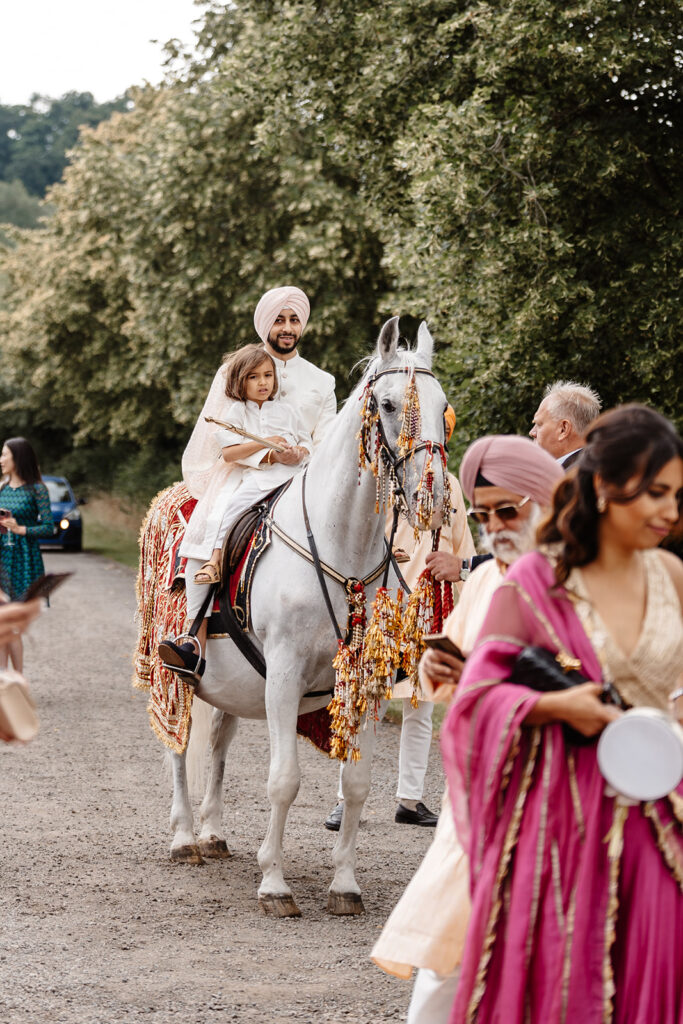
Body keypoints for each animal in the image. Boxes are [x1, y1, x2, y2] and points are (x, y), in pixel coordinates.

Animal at [168, 315, 450, 917]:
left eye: (444, 406)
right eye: (388, 404)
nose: (433, 497)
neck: (342, 544)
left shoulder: (364, 681)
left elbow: (358, 783)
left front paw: (344, 883)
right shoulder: (284, 674)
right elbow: (284, 781)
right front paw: (274, 883)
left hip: (228, 686)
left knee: (217, 746)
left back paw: (212, 832)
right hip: (176, 674)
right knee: (178, 746)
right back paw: (183, 837)